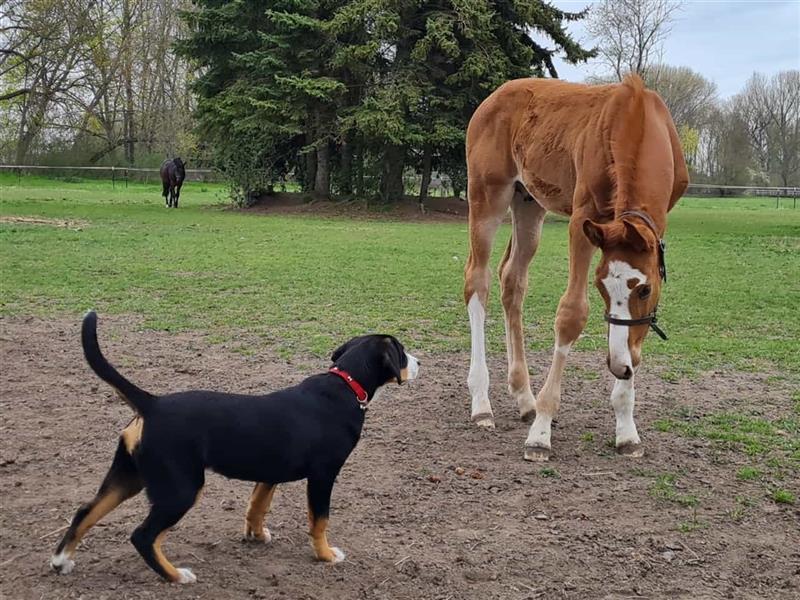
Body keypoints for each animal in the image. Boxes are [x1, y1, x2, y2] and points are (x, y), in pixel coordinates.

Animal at [50, 312, 418, 584]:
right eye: (401, 352)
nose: (419, 362)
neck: (345, 386)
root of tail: (153, 404)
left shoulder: (270, 472)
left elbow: (257, 506)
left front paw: (256, 536)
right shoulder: (323, 475)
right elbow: (320, 520)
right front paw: (326, 555)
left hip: (129, 477)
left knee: (85, 511)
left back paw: (61, 560)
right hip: (180, 489)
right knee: (143, 536)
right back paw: (176, 575)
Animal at [462, 74, 688, 460]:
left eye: (645, 289)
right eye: (599, 287)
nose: (619, 367)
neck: (636, 122)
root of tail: (493, 97)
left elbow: (636, 335)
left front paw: (627, 430)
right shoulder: (583, 218)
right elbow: (571, 314)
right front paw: (541, 434)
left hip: (529, 203)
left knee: (512, 281)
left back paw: (524, 398)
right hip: (488, 195)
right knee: (478, 281)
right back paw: (482, 403)